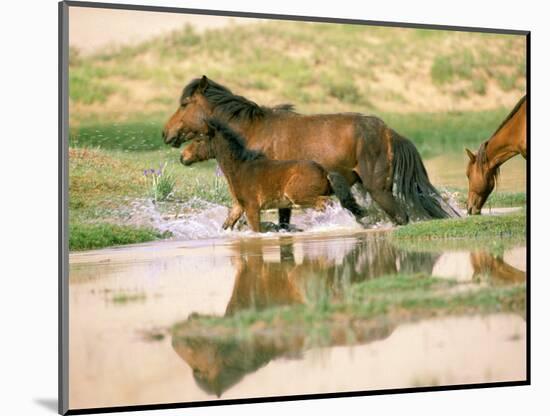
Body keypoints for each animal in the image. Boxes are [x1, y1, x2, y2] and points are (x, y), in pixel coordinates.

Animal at [201, 118, 364, 232]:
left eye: (199, 136)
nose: (188, 157)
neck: (239, 168)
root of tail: (324, 171)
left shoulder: (252, 207)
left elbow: (256, 230)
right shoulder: (239, 206)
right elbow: (228, 223)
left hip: (297, 194)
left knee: (326, 202)